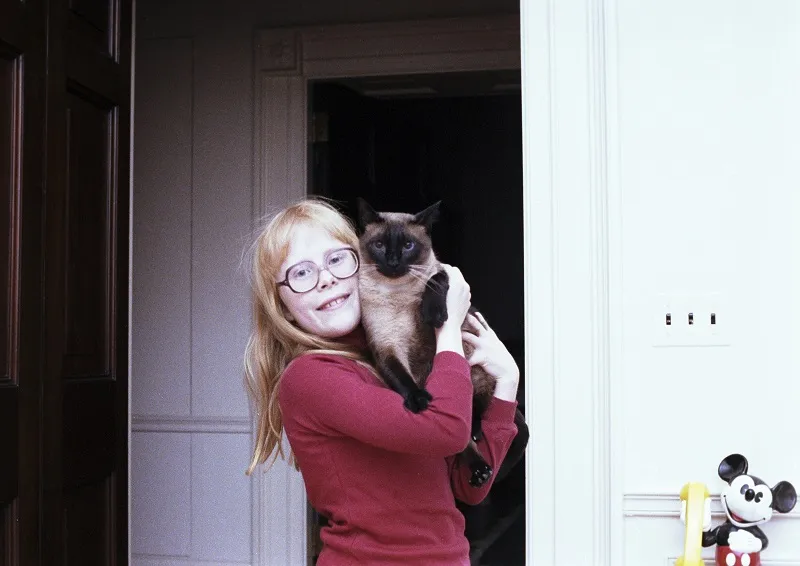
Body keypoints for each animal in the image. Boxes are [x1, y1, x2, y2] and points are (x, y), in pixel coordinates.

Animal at [354, 199, 528, 488]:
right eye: (379, 245)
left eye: (408, 245)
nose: (393, 261)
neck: (397, 295)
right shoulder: (387, 347)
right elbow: (402, 379)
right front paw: (420, 400)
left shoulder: (443, 274)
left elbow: (436, 280)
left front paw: (434, 315)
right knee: (463, 440)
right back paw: (479, 469)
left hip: (474, 371)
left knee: (481, 413)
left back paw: (479, 445)